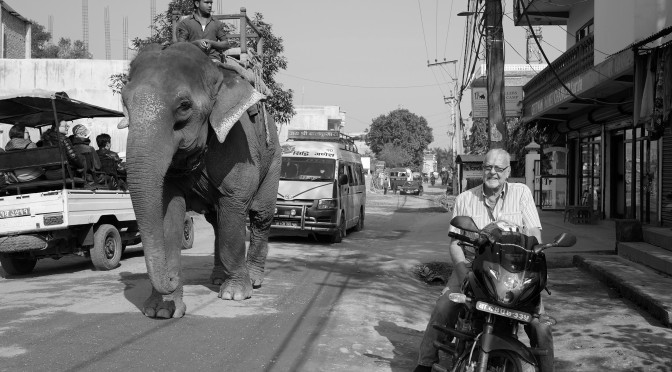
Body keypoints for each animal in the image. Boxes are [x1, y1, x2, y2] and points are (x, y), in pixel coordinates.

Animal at [119, 42, 280, 318]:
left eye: (184, 105)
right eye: (124, 101)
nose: (171, 277)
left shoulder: (238, 146)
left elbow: (234, 207)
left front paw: (235, 294)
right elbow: (169, 213)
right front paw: (162, 310)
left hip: (274, 158)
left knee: (260, 216)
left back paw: (254, 279)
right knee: (216, 221)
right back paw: (217, 278)